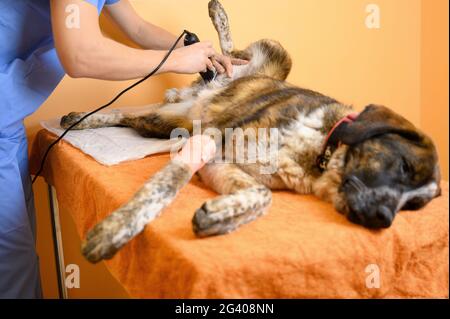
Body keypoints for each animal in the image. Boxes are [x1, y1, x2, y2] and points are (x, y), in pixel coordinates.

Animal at [59, 0, 440, 264]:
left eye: (415, 206)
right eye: (404, 166)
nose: (383, 220)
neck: (319, 149)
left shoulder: (220, 163)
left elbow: (263, 195)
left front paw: (218, 218)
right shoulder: (208, 142)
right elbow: (165, 188)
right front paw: (113, 232)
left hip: (168, 125)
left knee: (126, 114)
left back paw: (81, 119)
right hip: (276, 54)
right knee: (226, 52)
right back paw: (216, 18)